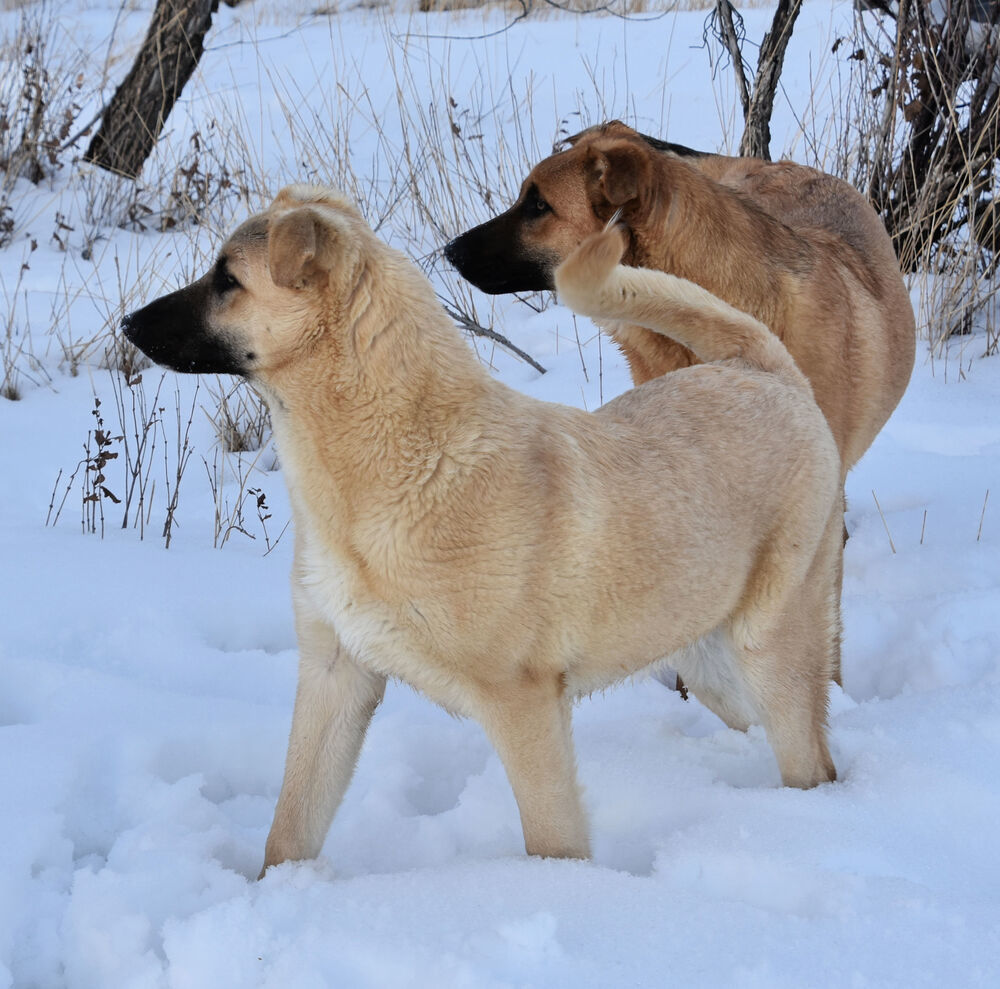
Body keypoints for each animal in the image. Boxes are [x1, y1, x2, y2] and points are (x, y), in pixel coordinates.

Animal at [123, 185, 844, 872]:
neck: (401, 463)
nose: (127, 323)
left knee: (814, 761)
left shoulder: (523, 703)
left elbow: (553, 840)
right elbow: (290, 828)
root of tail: (763, 369)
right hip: (701, 652)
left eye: (227, 278)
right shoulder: (335, 676)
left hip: (770, 648)